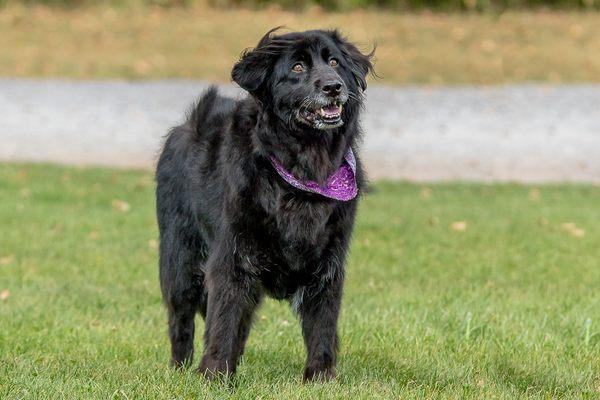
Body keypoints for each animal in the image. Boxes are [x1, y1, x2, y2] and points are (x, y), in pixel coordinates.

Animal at [156, 28, 376, 382]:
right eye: (297, 67)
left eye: (334, 63)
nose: (333, 87)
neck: (302, 167)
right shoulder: (232, 257)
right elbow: (223, 320)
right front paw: (215, 376)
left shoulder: (329, 260)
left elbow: (323, 324)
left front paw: (320, 378)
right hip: (179, 258)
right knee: (182, 318)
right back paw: (182, 369)